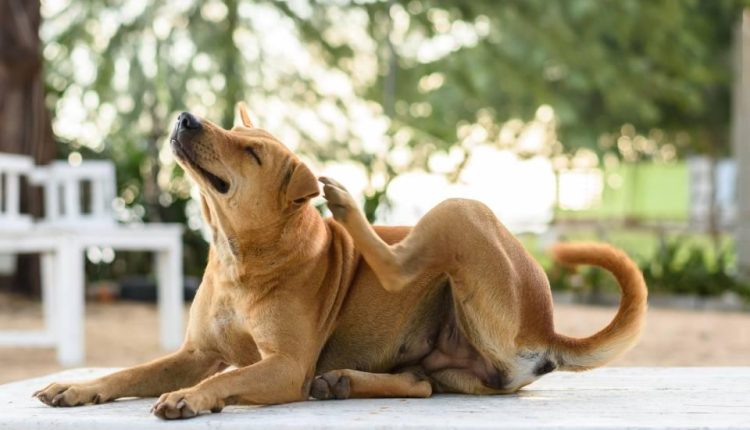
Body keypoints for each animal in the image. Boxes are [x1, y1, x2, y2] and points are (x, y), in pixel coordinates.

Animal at [33, 105, 648, 420]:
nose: (186, 117)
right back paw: (345, 382)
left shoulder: (285, 365)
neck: (240, 257)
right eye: (234, 129)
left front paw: (192, 397)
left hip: (460, 212)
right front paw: (80, 387)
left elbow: (231, 375)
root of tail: (546, 326)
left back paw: (348, 207)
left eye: (250, 151)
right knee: (420, 384)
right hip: (451, 365)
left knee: (400, 264)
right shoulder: (195, 353)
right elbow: (130, 373)